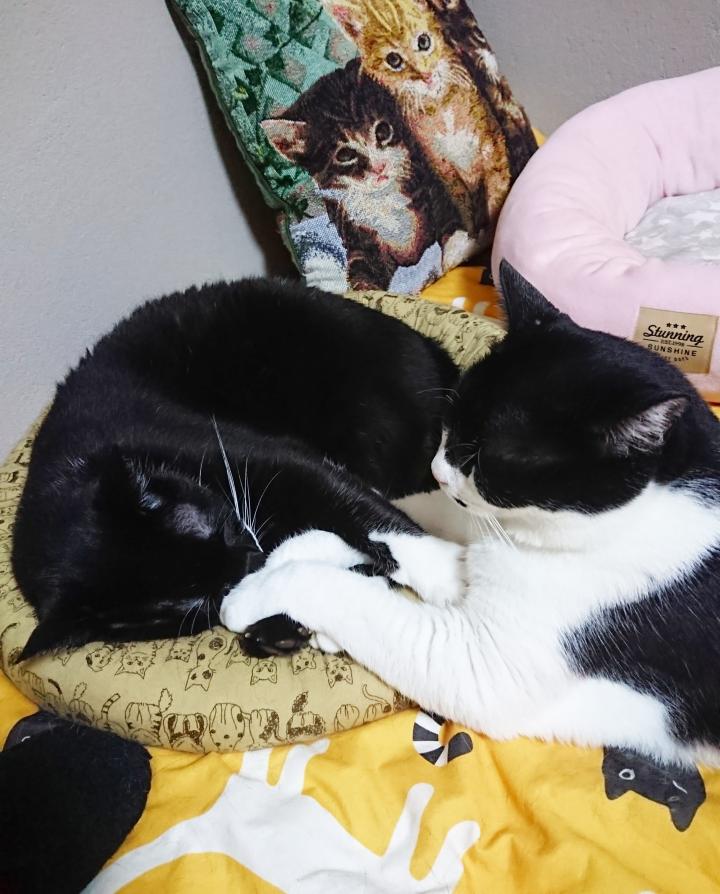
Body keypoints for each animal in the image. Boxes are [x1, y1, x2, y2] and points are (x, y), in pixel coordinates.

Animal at [12, 278, 457, 660]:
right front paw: (279, 622)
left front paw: (444, 572)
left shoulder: (275, 460)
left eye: (215, 528)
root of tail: (433, 351)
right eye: (201, 600)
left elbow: (364, 511)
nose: (254, 559)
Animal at [222, 260, 720, 768]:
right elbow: (404, 517)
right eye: (447, 423)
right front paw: (311, 545)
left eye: (480, 455)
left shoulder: (484, 665)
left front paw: (260, 590)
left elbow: (348, 593)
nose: (438, 470)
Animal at [262, 57, 472, 291]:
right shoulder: (357, 233)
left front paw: (455, 247)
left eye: (382, 131)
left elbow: (444, 208)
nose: (380, 166)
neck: (383, 197)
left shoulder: (428, 176)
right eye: (345, 155)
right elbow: (363, 269)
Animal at [325, 0, 511, 242]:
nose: (426, 76)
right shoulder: (443, 169)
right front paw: (470, 236)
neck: (440, 108)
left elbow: (496, 195)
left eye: (424, 42)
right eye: (394, 60)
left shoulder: (493, 151)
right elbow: (464, 207)